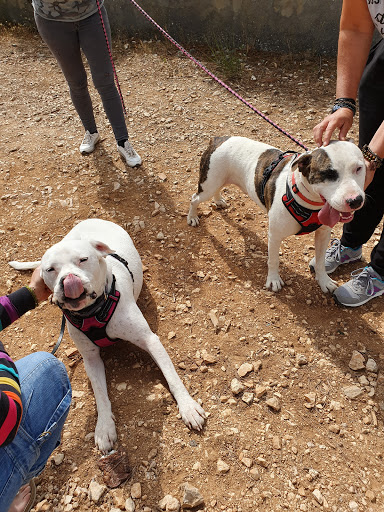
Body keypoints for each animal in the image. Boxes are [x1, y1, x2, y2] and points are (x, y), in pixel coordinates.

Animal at [9, 219, 207, 452]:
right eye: (50, 269)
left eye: (83, 259)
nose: (69, 280)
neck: (93, 312)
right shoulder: (91, 359)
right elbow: (100, 395)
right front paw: (104, 427)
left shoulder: (150, 340)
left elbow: (172, 376)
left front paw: (188, 407)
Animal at [188, 138, 366, 294]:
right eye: (328, 173)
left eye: (359, 168)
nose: (355, 200)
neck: (307, 200)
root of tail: (219, 139)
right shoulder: (275, 235)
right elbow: (273, 260)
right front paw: (273, 280)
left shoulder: (323, 234)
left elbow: (321, 261)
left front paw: (324, 281)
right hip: (209, 184)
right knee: (194, 198)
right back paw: (192, 217)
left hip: (218, 181)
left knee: (216, 190)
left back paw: (218, 200)